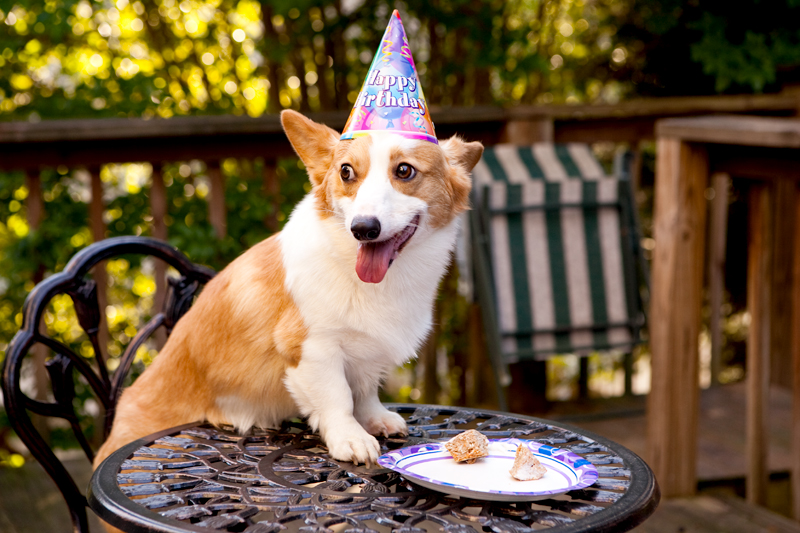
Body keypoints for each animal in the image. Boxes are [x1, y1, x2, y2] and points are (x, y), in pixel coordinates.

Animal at [94, 110, 482, 468]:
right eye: (346, 172)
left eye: (404, 171)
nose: (362, 228)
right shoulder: (313, 349)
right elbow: (339, 397)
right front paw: (351, 439)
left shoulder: (365, 353)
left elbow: (365, 391)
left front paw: (375, 419)